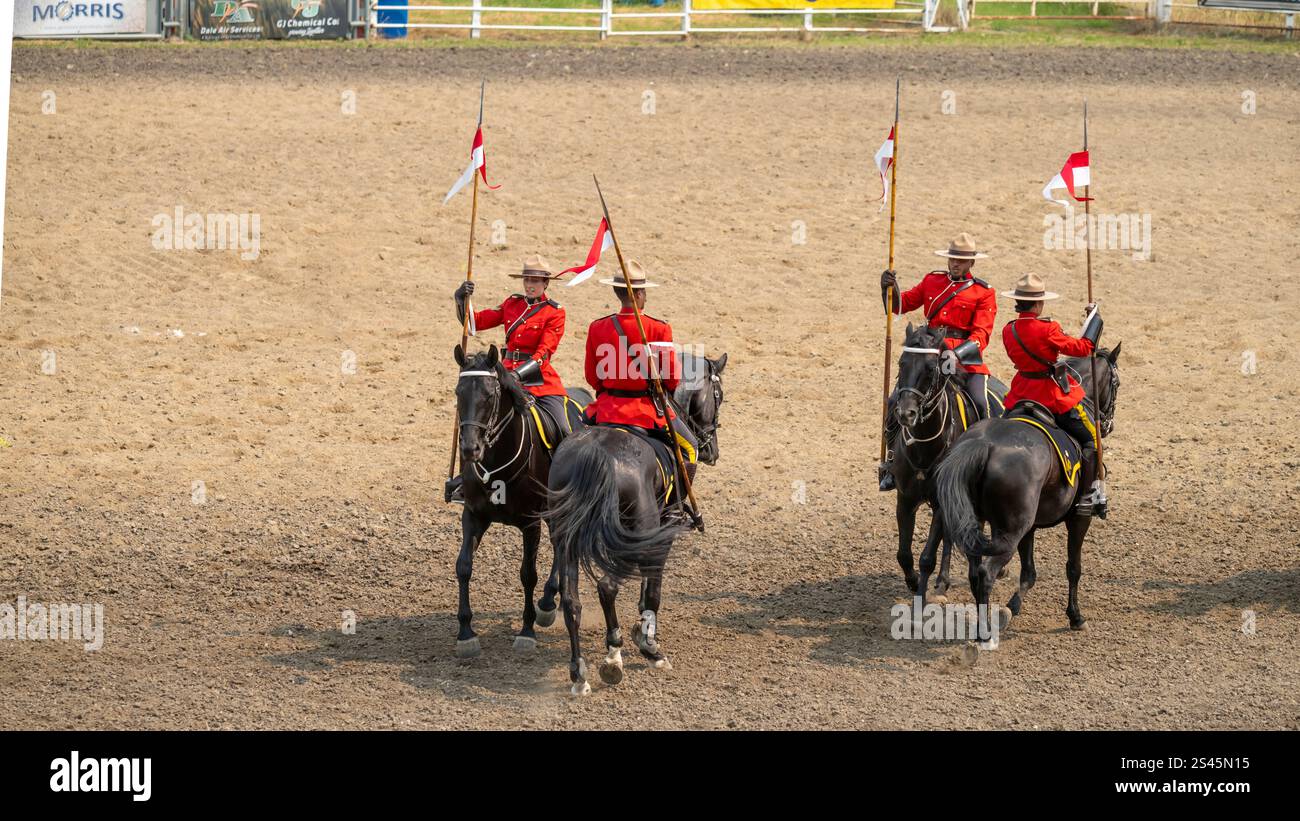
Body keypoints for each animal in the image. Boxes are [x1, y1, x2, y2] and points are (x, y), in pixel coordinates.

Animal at [447, 345, 590, 659]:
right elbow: (463, 566)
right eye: (458, 392)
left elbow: (528, 574)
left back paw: (548, 602)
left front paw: (527, 631)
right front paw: (465, 632)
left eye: (490, 395)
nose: (470, 449)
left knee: (561, 547)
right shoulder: (473, 515)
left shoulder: (530, 524)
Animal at [543, 350, 728, 691]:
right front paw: (648, 642)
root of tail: (595, 455)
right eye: (718, 395)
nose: (712, 450)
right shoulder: (662, 533)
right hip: (631, 537)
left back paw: (579, 673)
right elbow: (652, 590)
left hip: (566, 540)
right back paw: (614, 656)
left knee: (572, 602)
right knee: (606, 586)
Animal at [889, 326, 1008, 602]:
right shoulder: (905, 498)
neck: (924, 445)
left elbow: (927, 557)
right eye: (901, 363)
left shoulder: (942, 502)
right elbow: (904, 554)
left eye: (931, 368)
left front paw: (921, 594)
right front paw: (913, 582)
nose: (906, 413)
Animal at [935, 342, 1118, 644]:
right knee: (985, 573)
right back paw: (984, 634)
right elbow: (1073, 567)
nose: (1108, 423)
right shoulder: (1079, 519)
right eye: (1116, 383)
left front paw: (1010, 609)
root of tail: (983, 445)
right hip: (1009, 532)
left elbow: (1029, 574)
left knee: (975, 572)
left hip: (984, 524)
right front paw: (1075, 616)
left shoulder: (1029, 528)